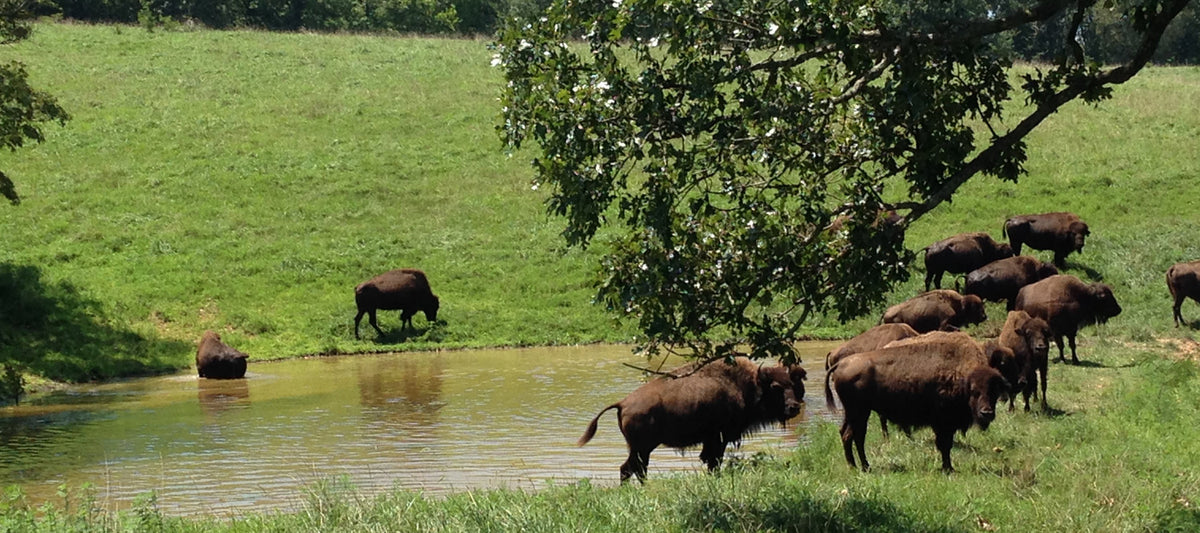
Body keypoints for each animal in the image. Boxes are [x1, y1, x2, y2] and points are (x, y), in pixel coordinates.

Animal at [577, 357, 806, 482]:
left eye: (791, 384)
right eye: (776, 387)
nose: (794, 407)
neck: (748, 385)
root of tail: (623, 402)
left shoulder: (713, 440)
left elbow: (711, 461)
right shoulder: (719, 439)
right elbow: (714, 461)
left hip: (641, 449)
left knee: (634, 469)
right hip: (642, 448)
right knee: (630, 469)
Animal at [825, 335, 1009, 473]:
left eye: (994, 391)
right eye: (974, 391)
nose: (987, 413)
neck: (962, 376)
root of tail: (840, 363)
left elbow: (945, 445)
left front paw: (947, 468)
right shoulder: (943, 423)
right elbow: (945, 445)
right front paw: (948, 469)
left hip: (856, 413)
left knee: (850, 434)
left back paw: (860, 466)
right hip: (858, 412)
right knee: (853, 435)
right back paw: (859, 467)